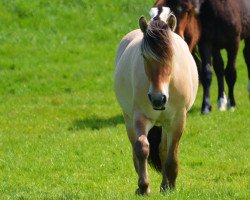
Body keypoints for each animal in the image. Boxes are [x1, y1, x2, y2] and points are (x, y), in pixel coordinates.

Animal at [114, 7, 198, 195]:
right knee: (136, 147)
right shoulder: (140, 116)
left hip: (165, 123)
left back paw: (165, 184)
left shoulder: (177, 119)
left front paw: (170, 186)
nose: (158, 99)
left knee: (163, 150)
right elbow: (141, 148)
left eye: (172, 55)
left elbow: (170, 154)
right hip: (128, 118)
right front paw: (144, 186)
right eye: (144, 56)